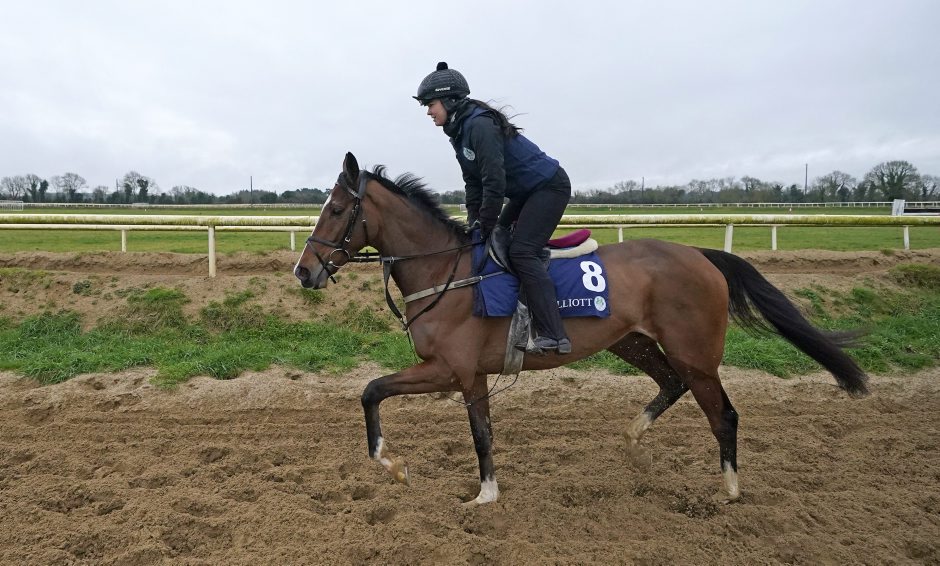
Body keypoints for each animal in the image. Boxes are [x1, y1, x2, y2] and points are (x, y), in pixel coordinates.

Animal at [294, 152, 869, 505]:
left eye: (338, 209)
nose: (304, 271)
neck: (447, 272)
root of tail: (701, 253)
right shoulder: (470, 377)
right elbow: (480, 433)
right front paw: (485, 493)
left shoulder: (446, 369)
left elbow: (372, 391)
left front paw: (394, 466)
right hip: (633, 342)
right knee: (671, 385)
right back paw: (635, 443)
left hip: (695, 352)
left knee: (722, 414)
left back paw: (728, 488)